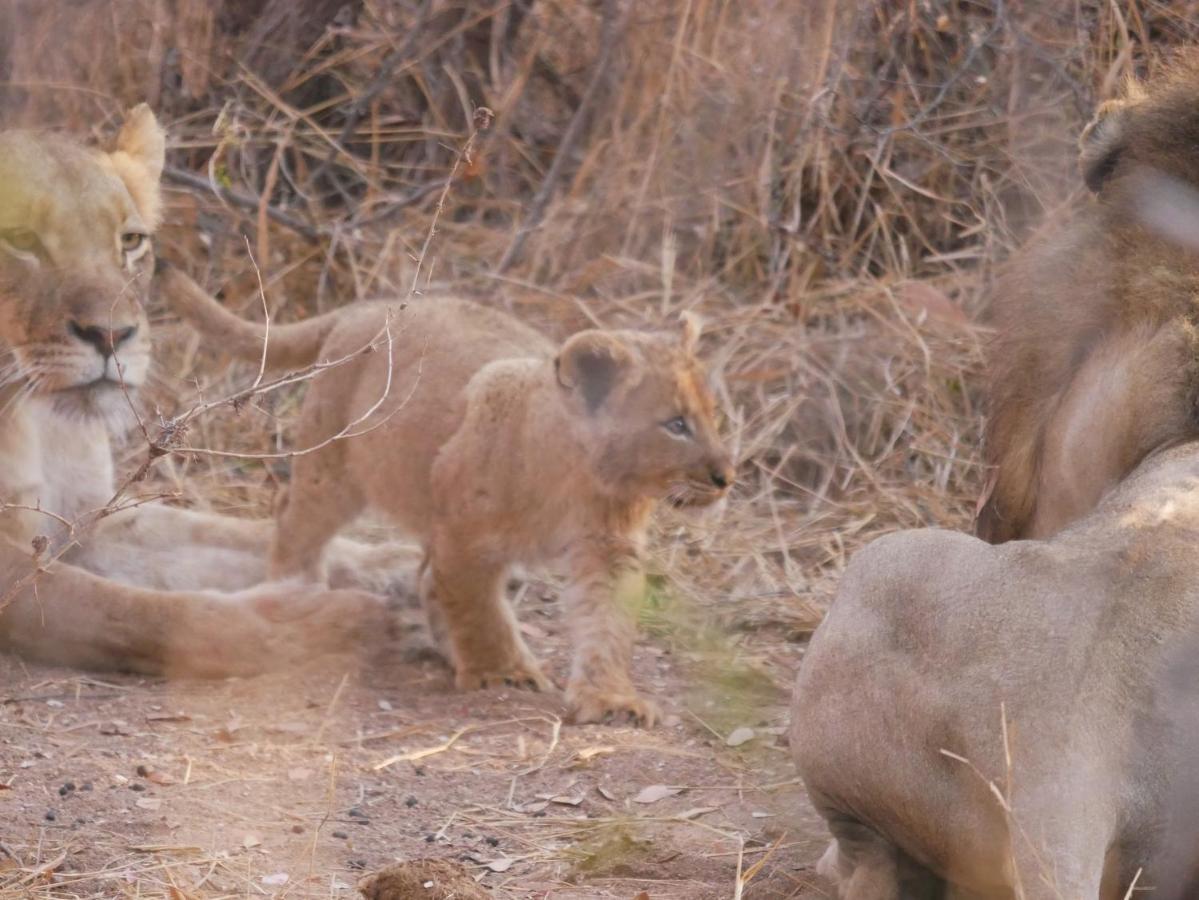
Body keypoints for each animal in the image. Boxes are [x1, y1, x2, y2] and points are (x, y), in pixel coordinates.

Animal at [0, 107, 398, 675]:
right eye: (18, 237)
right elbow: (124, 608)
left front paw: (396, 565)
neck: (31, 412)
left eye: (130, 241)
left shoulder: (84, 518)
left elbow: (232, 535)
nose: (112, 335)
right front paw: (313, 626)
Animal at [160, 267, 738, 723]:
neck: (575, 478)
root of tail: (365, 308)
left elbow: (608, 625)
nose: (726, 476)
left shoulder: (607, 548)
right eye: (676, 425)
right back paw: (295, 587)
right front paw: (502, 673)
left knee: (424, 575)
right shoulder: (465, 536)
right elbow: (479, 609)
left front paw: (613, 699)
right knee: (294, 518)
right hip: (335, 466)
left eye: (714, 417)